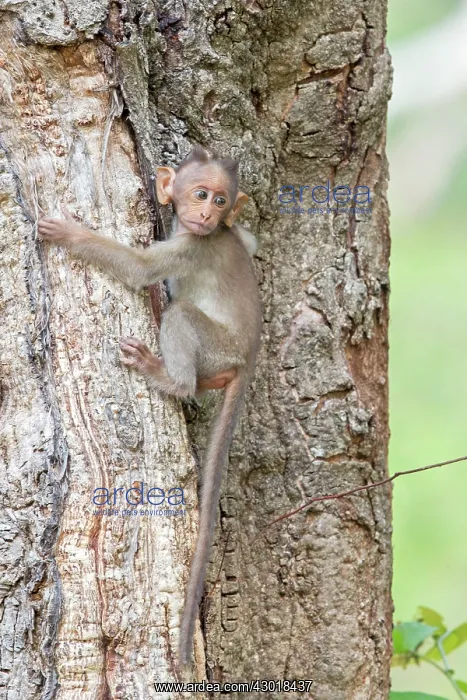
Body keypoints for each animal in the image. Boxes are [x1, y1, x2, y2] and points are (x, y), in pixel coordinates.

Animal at [37, 145, 262, 666]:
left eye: (220, 200)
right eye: (202, 195)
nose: (207, 215)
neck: (204, 232)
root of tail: (248, 355)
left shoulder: (192, 246)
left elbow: (141, 269)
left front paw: (71, 235)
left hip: (218, 346)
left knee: (181, 315)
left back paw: (171, 379)